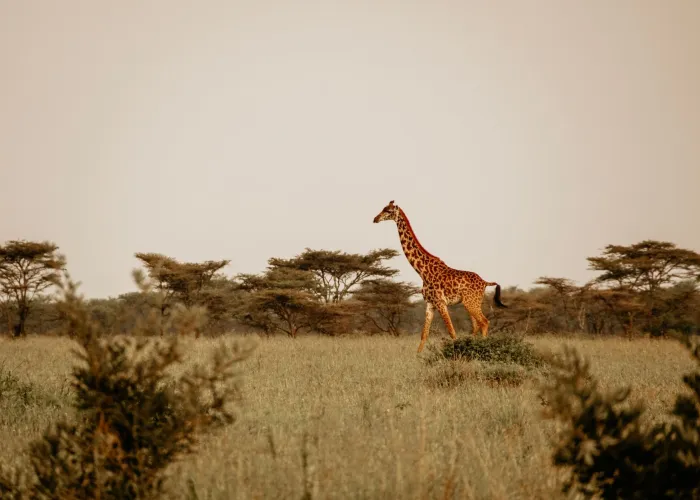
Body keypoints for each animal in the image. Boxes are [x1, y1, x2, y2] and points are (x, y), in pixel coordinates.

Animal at [373, 200, 507, 353]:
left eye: (388, 211)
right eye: (383, 208)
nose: (375, 219)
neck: (422, 271)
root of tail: (485, 282)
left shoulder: (441, 303)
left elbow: (452, 332)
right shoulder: (430, 304)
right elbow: (424, 334)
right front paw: (417, 356)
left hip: (470, 302)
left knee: (484, 322)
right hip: (473, 303)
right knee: (477, 325)